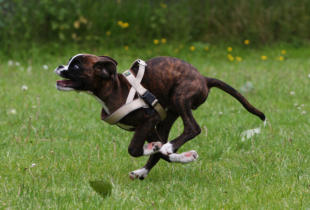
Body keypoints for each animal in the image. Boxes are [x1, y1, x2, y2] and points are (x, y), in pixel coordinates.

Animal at [54, 53, 266, 179]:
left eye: (76, 67)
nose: (59, 66)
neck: (114, 88)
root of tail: (204, 79)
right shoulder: (149, 127)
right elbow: (160, 154)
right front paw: (185, 157)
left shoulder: (149, 119)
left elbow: (134, 149)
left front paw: (156, 148)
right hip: (167, 117)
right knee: (167, 143)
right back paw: (145, 168)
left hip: (181, 97)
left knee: (192, 128)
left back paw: (169, 145)